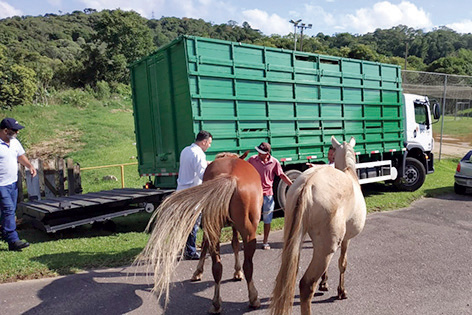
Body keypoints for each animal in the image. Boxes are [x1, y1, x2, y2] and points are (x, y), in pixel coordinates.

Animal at [136, 152, 262, 314]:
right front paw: (235, 272)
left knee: (218, 267)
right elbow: (233, 244)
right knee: (246, 265)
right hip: (244, 232)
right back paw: (252, 299)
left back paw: (216, 303)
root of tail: (230, 178)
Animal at [270, 136, 366, 315]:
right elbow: (342, 263)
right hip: (327, 247)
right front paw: (341, 291)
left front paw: (324, 283)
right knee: (306, 285)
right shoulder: (346, 240)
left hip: (296, 241)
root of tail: (308, 184)